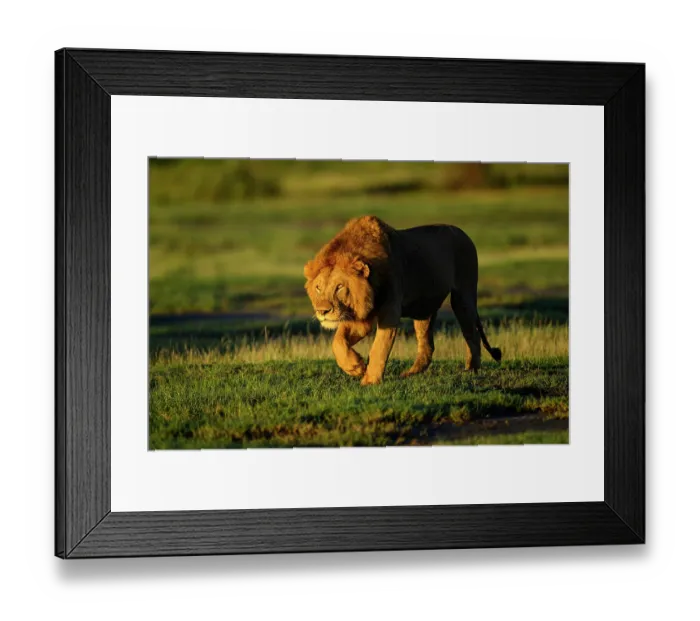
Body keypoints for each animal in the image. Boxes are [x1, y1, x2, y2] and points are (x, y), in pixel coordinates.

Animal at [303, 216, 501, 385]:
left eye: (339, 287)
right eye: (318, 288)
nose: (322, 311)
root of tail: (463, 233)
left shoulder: (390, 311)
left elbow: (379, 347)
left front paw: (370, 380)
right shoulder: (361, 317)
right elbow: (338, 341)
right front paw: (356, 367)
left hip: (463, 296)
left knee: (472, 333)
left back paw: (471, 369)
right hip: (424, 310)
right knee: (427, 345)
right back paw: (410, 373)